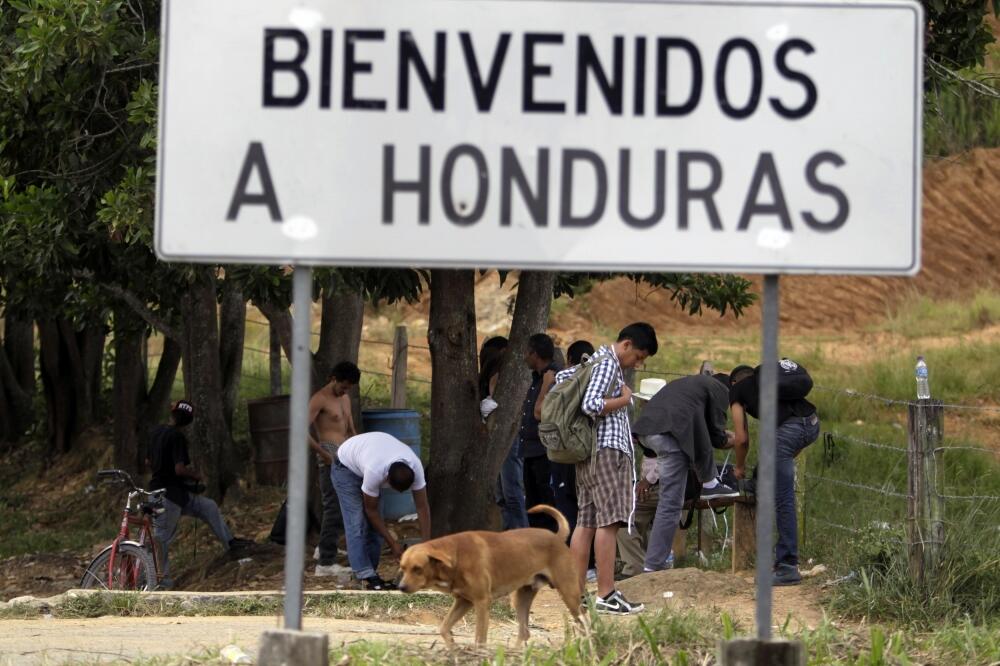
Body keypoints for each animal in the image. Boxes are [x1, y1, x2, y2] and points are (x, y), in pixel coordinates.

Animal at [398, 504, 584, 644]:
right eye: (403, 568)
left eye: (417, 568)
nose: (401, 587)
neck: (457, 555)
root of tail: (556, 537)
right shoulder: (463, 601)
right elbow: (444, 629)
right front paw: (454, 649)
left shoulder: (481, 602)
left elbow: (479, 640)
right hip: (521, 598)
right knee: (524, 633)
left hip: (569, 595)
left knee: (586, 624)